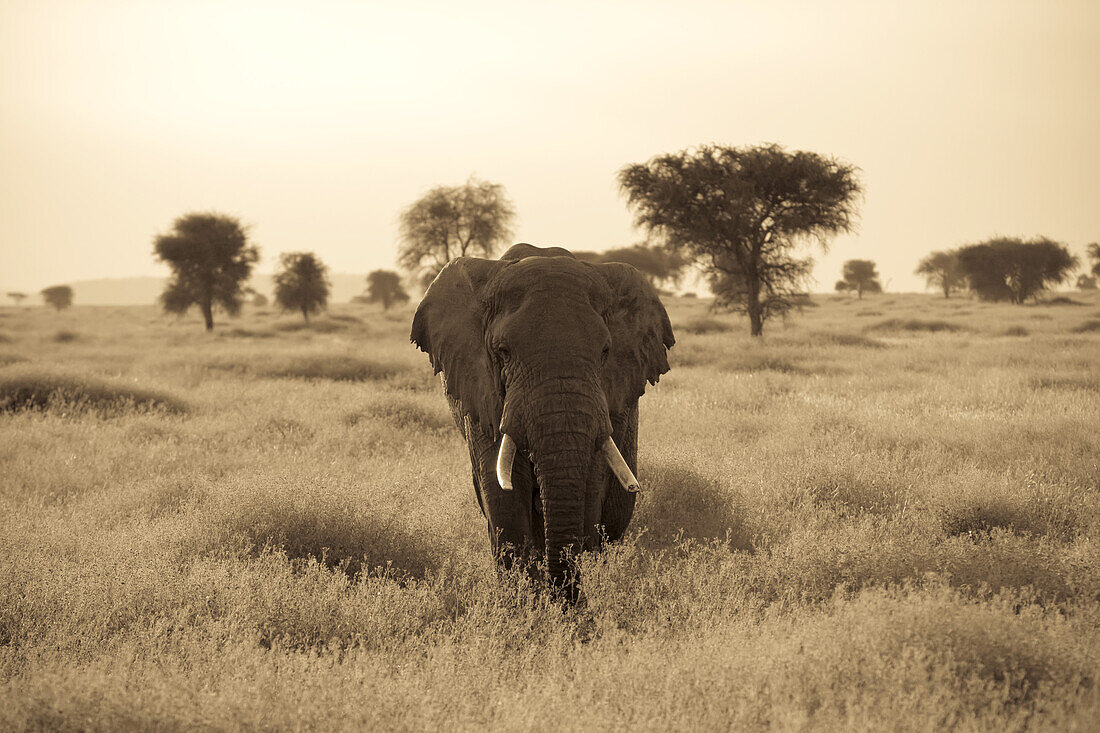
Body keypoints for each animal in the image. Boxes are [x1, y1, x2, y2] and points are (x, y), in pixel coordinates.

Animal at [411, 242, 673, 598]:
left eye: (605, 351)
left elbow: (589, 488)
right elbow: (503, 494)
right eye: (502, 351)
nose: (567, 599)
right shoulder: (483, 393)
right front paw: (525, 603)